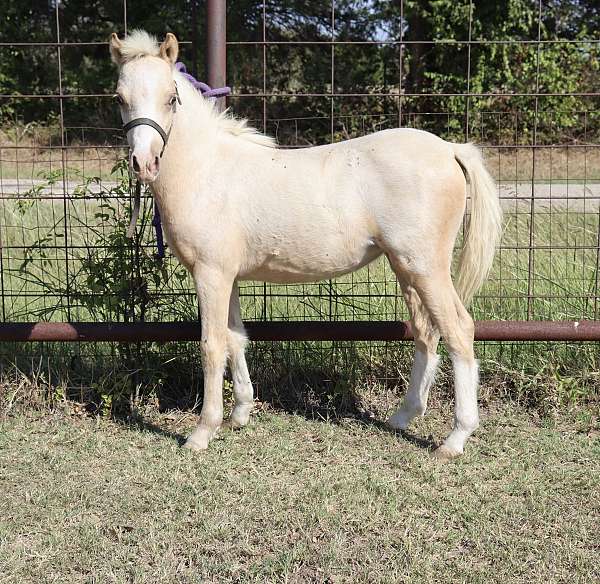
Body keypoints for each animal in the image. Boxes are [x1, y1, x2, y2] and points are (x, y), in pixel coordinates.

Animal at [111, 30, 502, 460]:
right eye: (119, 98)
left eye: (171, 98)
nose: (143, 163)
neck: (207, 170)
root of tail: (450, 149)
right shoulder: (229, 276)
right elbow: (236, 337)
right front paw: (240, 414)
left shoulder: (210, 274)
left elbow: (212, 345)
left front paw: (202, 432)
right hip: (406, 267)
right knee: (426, 332)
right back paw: (403, 417)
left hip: (426, 267)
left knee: (459, 330)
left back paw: (456, 438)